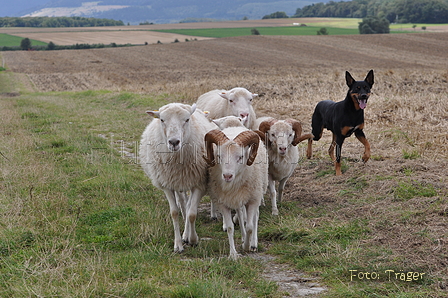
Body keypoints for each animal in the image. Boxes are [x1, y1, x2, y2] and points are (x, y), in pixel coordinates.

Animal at [140, 102, 217, 251]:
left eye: (187, 119)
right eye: (162, 120)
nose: (174, 142)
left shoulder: (199, 183)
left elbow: (192, 213)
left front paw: (193, 239)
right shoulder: (167, 184)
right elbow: (175, 212)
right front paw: (178, 244)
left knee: (188, 206)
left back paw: (187, 234)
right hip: (178, 182)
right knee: (183, 203)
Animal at [204, 127, 270, 260]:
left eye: (240, 157)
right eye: (219, 156)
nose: (227, 176)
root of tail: (235, 127)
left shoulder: (253, 200)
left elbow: (250, 226)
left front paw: (247, 246)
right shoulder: (223, 202)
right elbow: (230, 227)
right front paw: (233, 254)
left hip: (258, 191)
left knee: (255, 217)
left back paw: (253, 243)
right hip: (238, 198)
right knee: (240, 214)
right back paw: (244, 237)